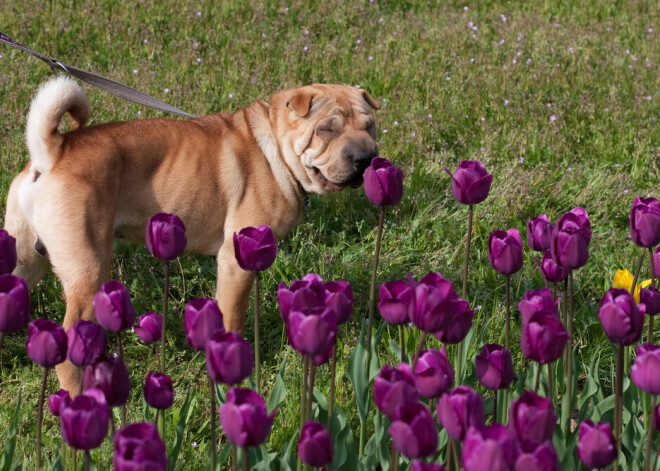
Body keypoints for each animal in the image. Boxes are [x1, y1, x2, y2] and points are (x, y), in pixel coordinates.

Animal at [5, 77, 378, 392]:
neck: (274, 147)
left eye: (370, 126)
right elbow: (233, 315)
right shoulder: (235, 263)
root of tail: (52, 152)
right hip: (88, 269)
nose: (366, 157)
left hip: (24, 260)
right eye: (326, 130)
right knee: (69, 352)